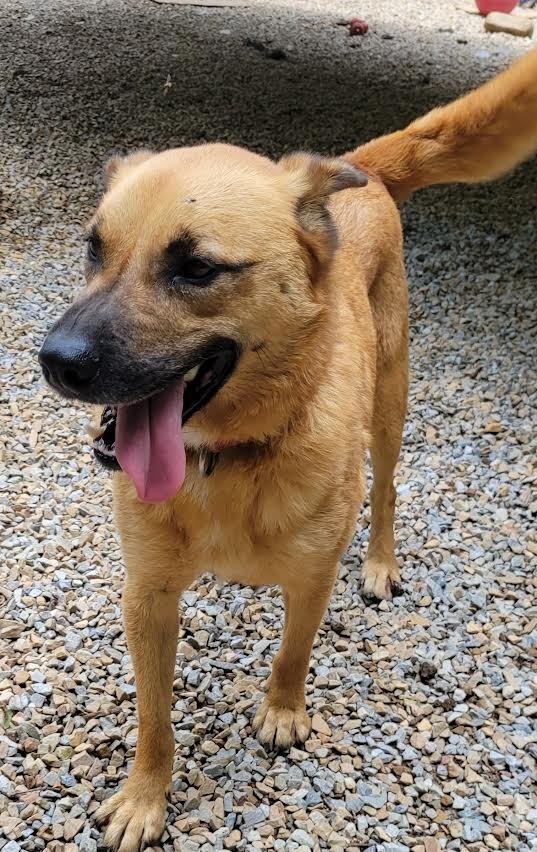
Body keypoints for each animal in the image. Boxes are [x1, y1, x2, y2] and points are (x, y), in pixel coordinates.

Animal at [38, 48, 536, 852]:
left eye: (196, 268)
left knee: (388, 488)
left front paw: (281, 709)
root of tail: (353, 170)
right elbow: (152, 716)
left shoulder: (311, 578)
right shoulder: (147, 595)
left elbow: (292, 651)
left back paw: (381, 562)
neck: (228, 457)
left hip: (390, 405)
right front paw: (145, 795)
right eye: (93, 247)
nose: (55, 361)